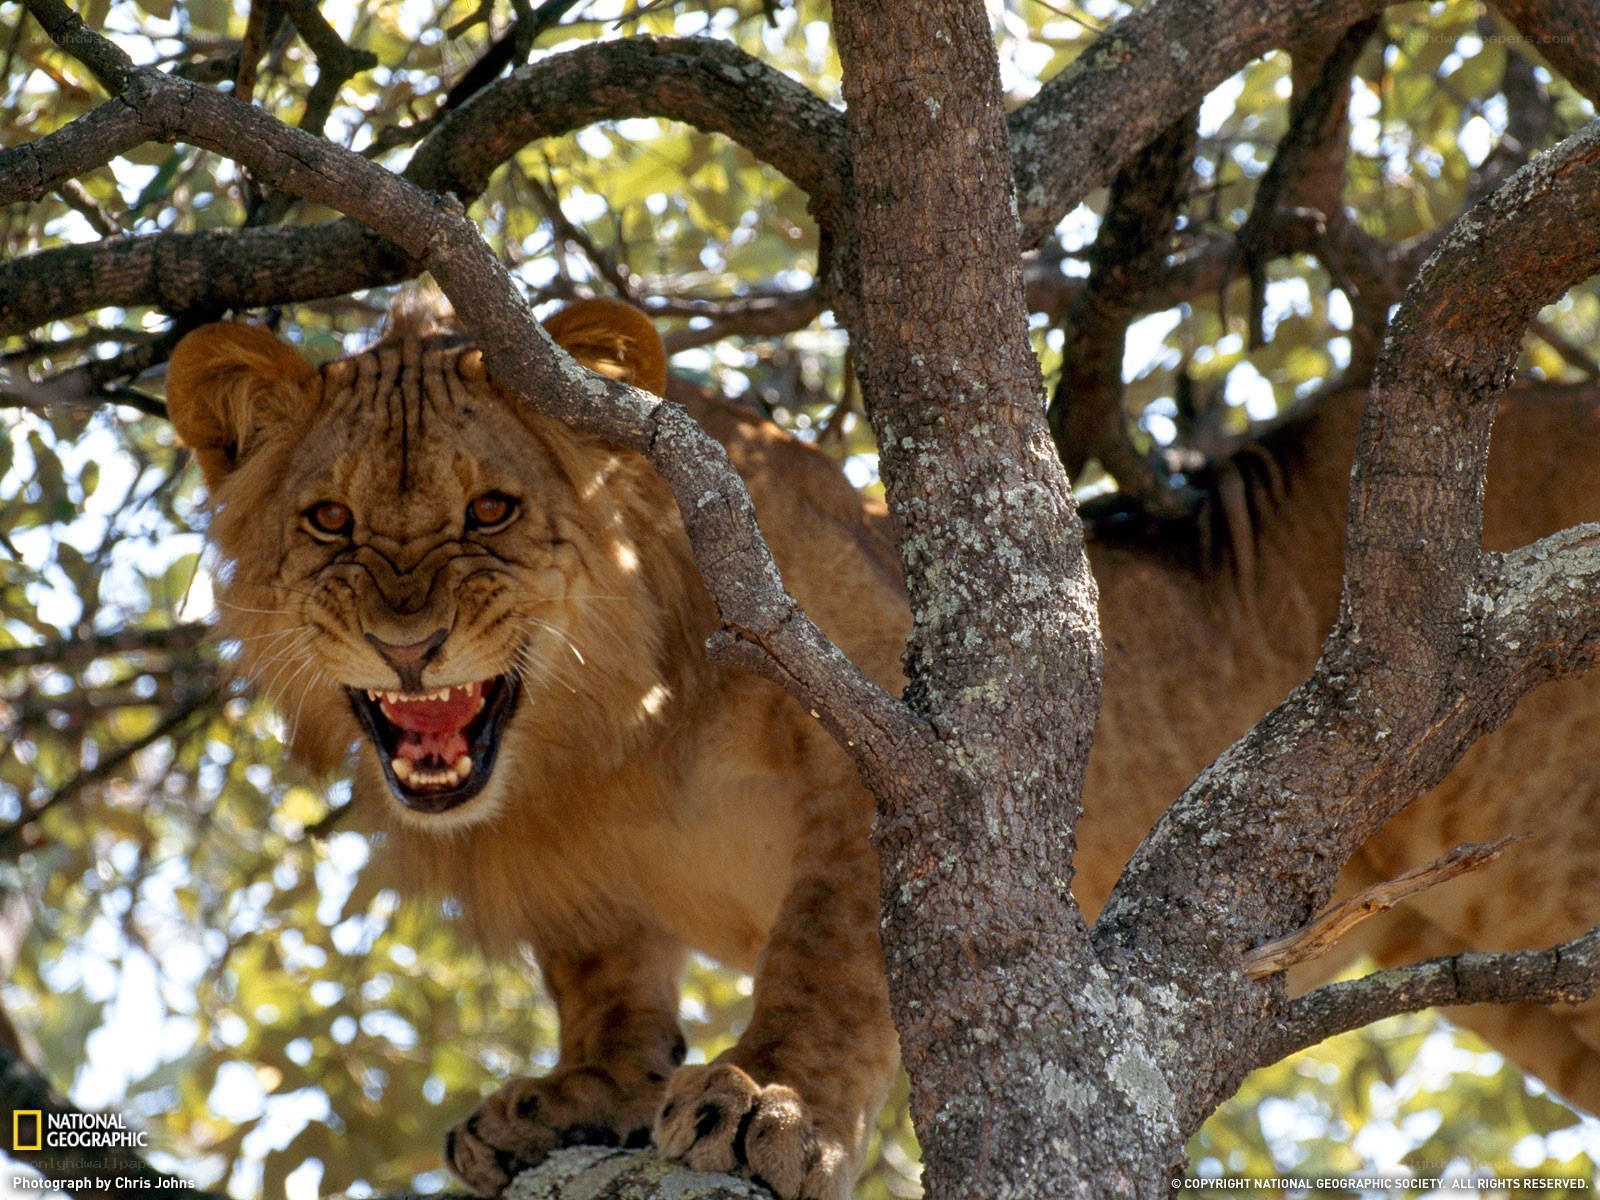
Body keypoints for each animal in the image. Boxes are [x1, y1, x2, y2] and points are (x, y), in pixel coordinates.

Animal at [167, 296, 1600, 1196]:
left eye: (492, 510)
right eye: (331, 519)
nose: (409, 647)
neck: (597, 736)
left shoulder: (885, 750)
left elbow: (827, 961)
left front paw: (767, 1106)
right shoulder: (576, 880)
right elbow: (605, 980)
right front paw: (578, 1094)